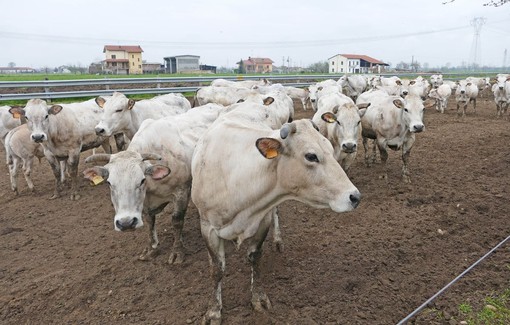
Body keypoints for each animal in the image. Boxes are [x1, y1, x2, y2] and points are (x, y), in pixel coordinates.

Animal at [83, 104, 223, 264]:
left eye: (142, 180)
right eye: (109, 183)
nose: (126, 223)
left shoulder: (182, 191)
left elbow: (177, 221)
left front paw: (177, 252)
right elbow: (150, 221)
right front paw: (151, 248)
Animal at [189, 105, 360, 322]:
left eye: (330, 149)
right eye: (311, 156)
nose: (354, 196)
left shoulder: (264, 219)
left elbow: (255, 258)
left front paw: (258, 298)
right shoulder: (207, 227)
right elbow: (217, 269)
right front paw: (213, 310)